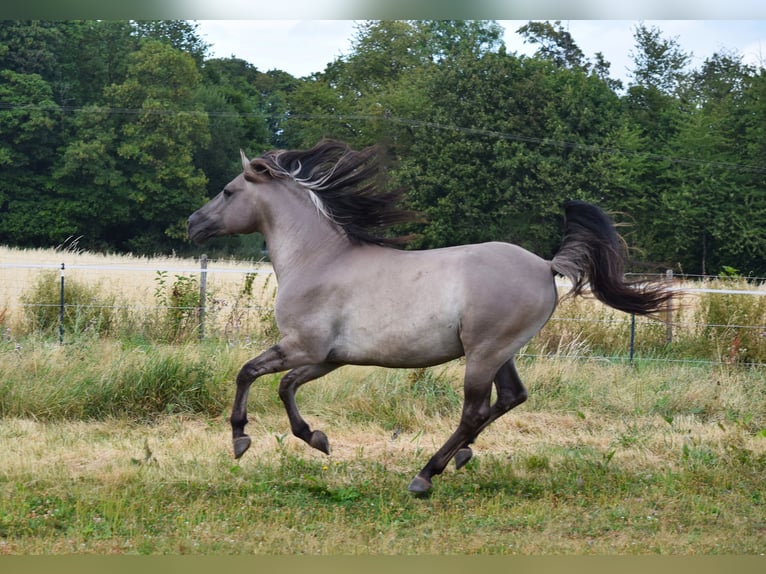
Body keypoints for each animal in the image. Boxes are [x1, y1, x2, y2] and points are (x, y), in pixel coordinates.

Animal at [187, 139, 672, 494]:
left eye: (228, 191)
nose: (193, 224)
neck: (318, 259)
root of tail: (545, 264)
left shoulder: (302, 347)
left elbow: (248, 372)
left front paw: (240, 439)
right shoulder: (327, 357)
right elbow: (286, 387)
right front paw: (317, 439)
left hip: (483, 353)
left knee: (475, 410)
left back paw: (425, 475)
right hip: (501, 352)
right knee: (511, 397)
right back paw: (460, 456)